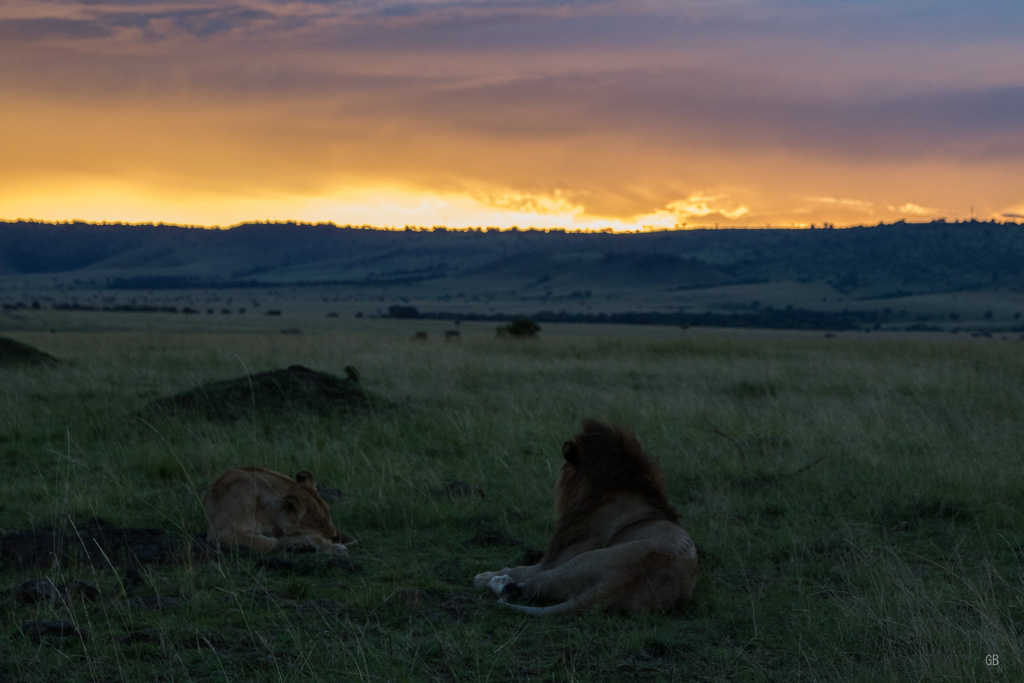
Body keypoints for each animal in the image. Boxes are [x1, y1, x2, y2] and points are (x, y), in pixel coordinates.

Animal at [475, 419, 700, 618]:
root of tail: (617, 582)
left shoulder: (554, 559)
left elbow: (519, 569)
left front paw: (485, 575)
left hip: (572, 564)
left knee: (529, 585)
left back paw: (496, 582)